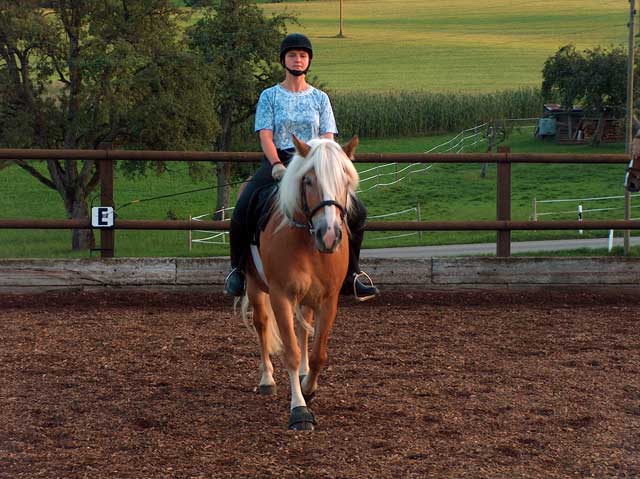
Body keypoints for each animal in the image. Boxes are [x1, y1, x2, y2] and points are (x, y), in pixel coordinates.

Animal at [240, 135, 360, 431]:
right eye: (308, 180)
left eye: (345, 179)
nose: (329, 235)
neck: (307, 241)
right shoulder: (281, 296)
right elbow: (291, 353)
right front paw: (299, 410)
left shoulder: (329, 299)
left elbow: (318, 353)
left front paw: (308, 387)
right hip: (255, 286)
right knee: (262, 324)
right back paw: (267, 380)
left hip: (308, 297)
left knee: (304, 329)